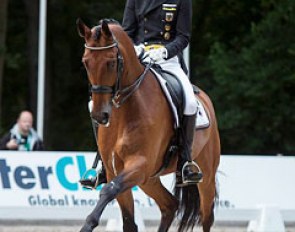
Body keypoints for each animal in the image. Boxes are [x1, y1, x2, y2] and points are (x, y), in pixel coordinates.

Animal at [77, 18, 221, 232]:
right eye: (85, 62)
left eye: (111, 62)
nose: (99, 115)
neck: (124, 111)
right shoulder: (115, 169)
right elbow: (127, 219)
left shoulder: (140, 164)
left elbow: (109, 190)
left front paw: (89, 223)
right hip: (149, 179)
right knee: (170, 204)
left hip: (206, 175)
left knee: (206, 216)